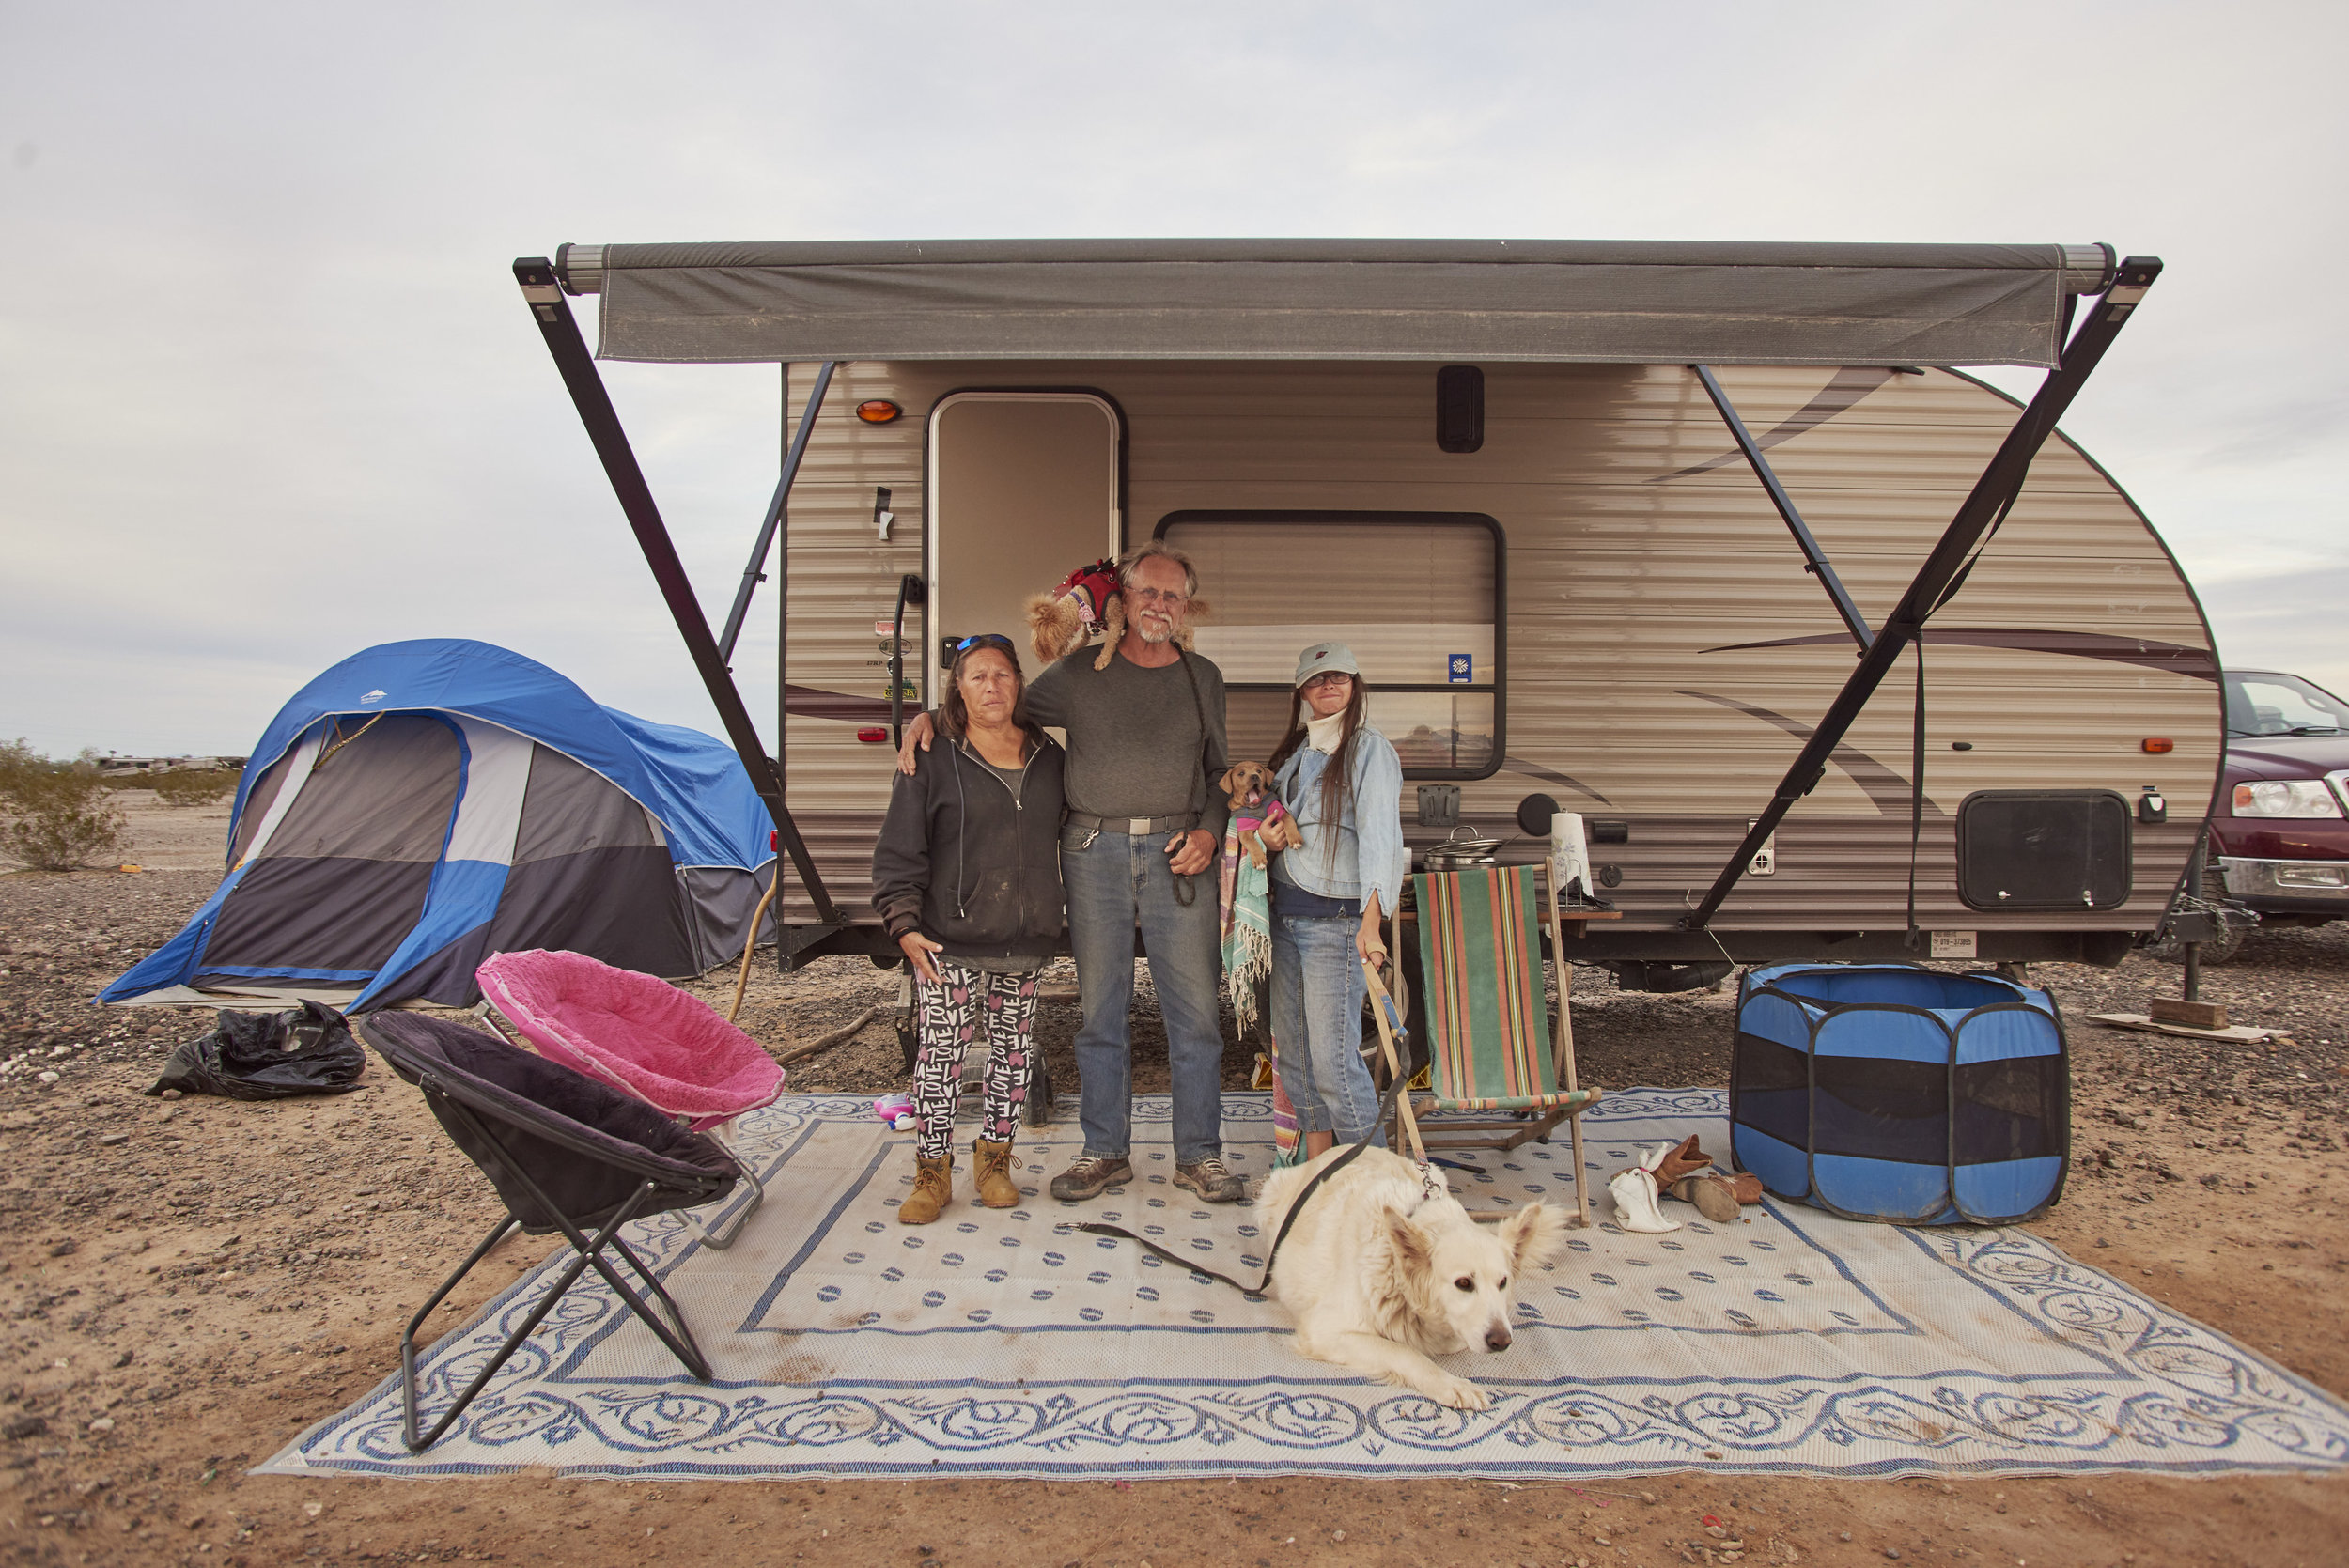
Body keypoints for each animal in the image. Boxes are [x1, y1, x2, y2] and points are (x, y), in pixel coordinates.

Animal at [1259, 1141, 1569, 1408]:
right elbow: (1405, 1352)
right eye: (1464, 1283)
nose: (1501, 1341)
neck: (1395, 1266)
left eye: (1503, 1282)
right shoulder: (1323, 1329)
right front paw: (1452, 1384)